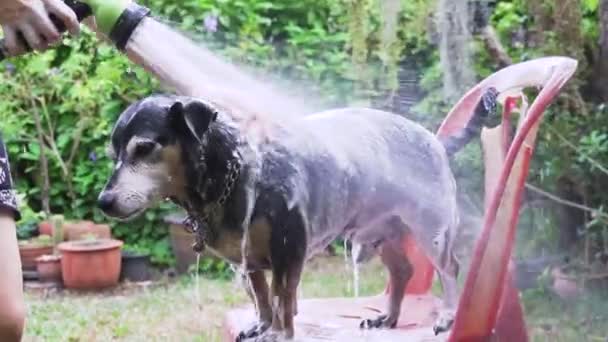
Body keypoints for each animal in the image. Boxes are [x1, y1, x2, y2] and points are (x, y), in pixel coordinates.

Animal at [97, 89, 496, 342]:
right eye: (113, 152)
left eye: (144, 148)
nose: (104, 201)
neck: (235, 168)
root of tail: (437, 142)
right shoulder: (250, 259)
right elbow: (260, 296)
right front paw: (261, 326)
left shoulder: (288, 250)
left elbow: (281, 297)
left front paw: (278, 332)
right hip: (383, 232)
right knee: (403, 271)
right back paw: (389, 317)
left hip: (432, 228)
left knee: (450, 269)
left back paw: (447, 317)